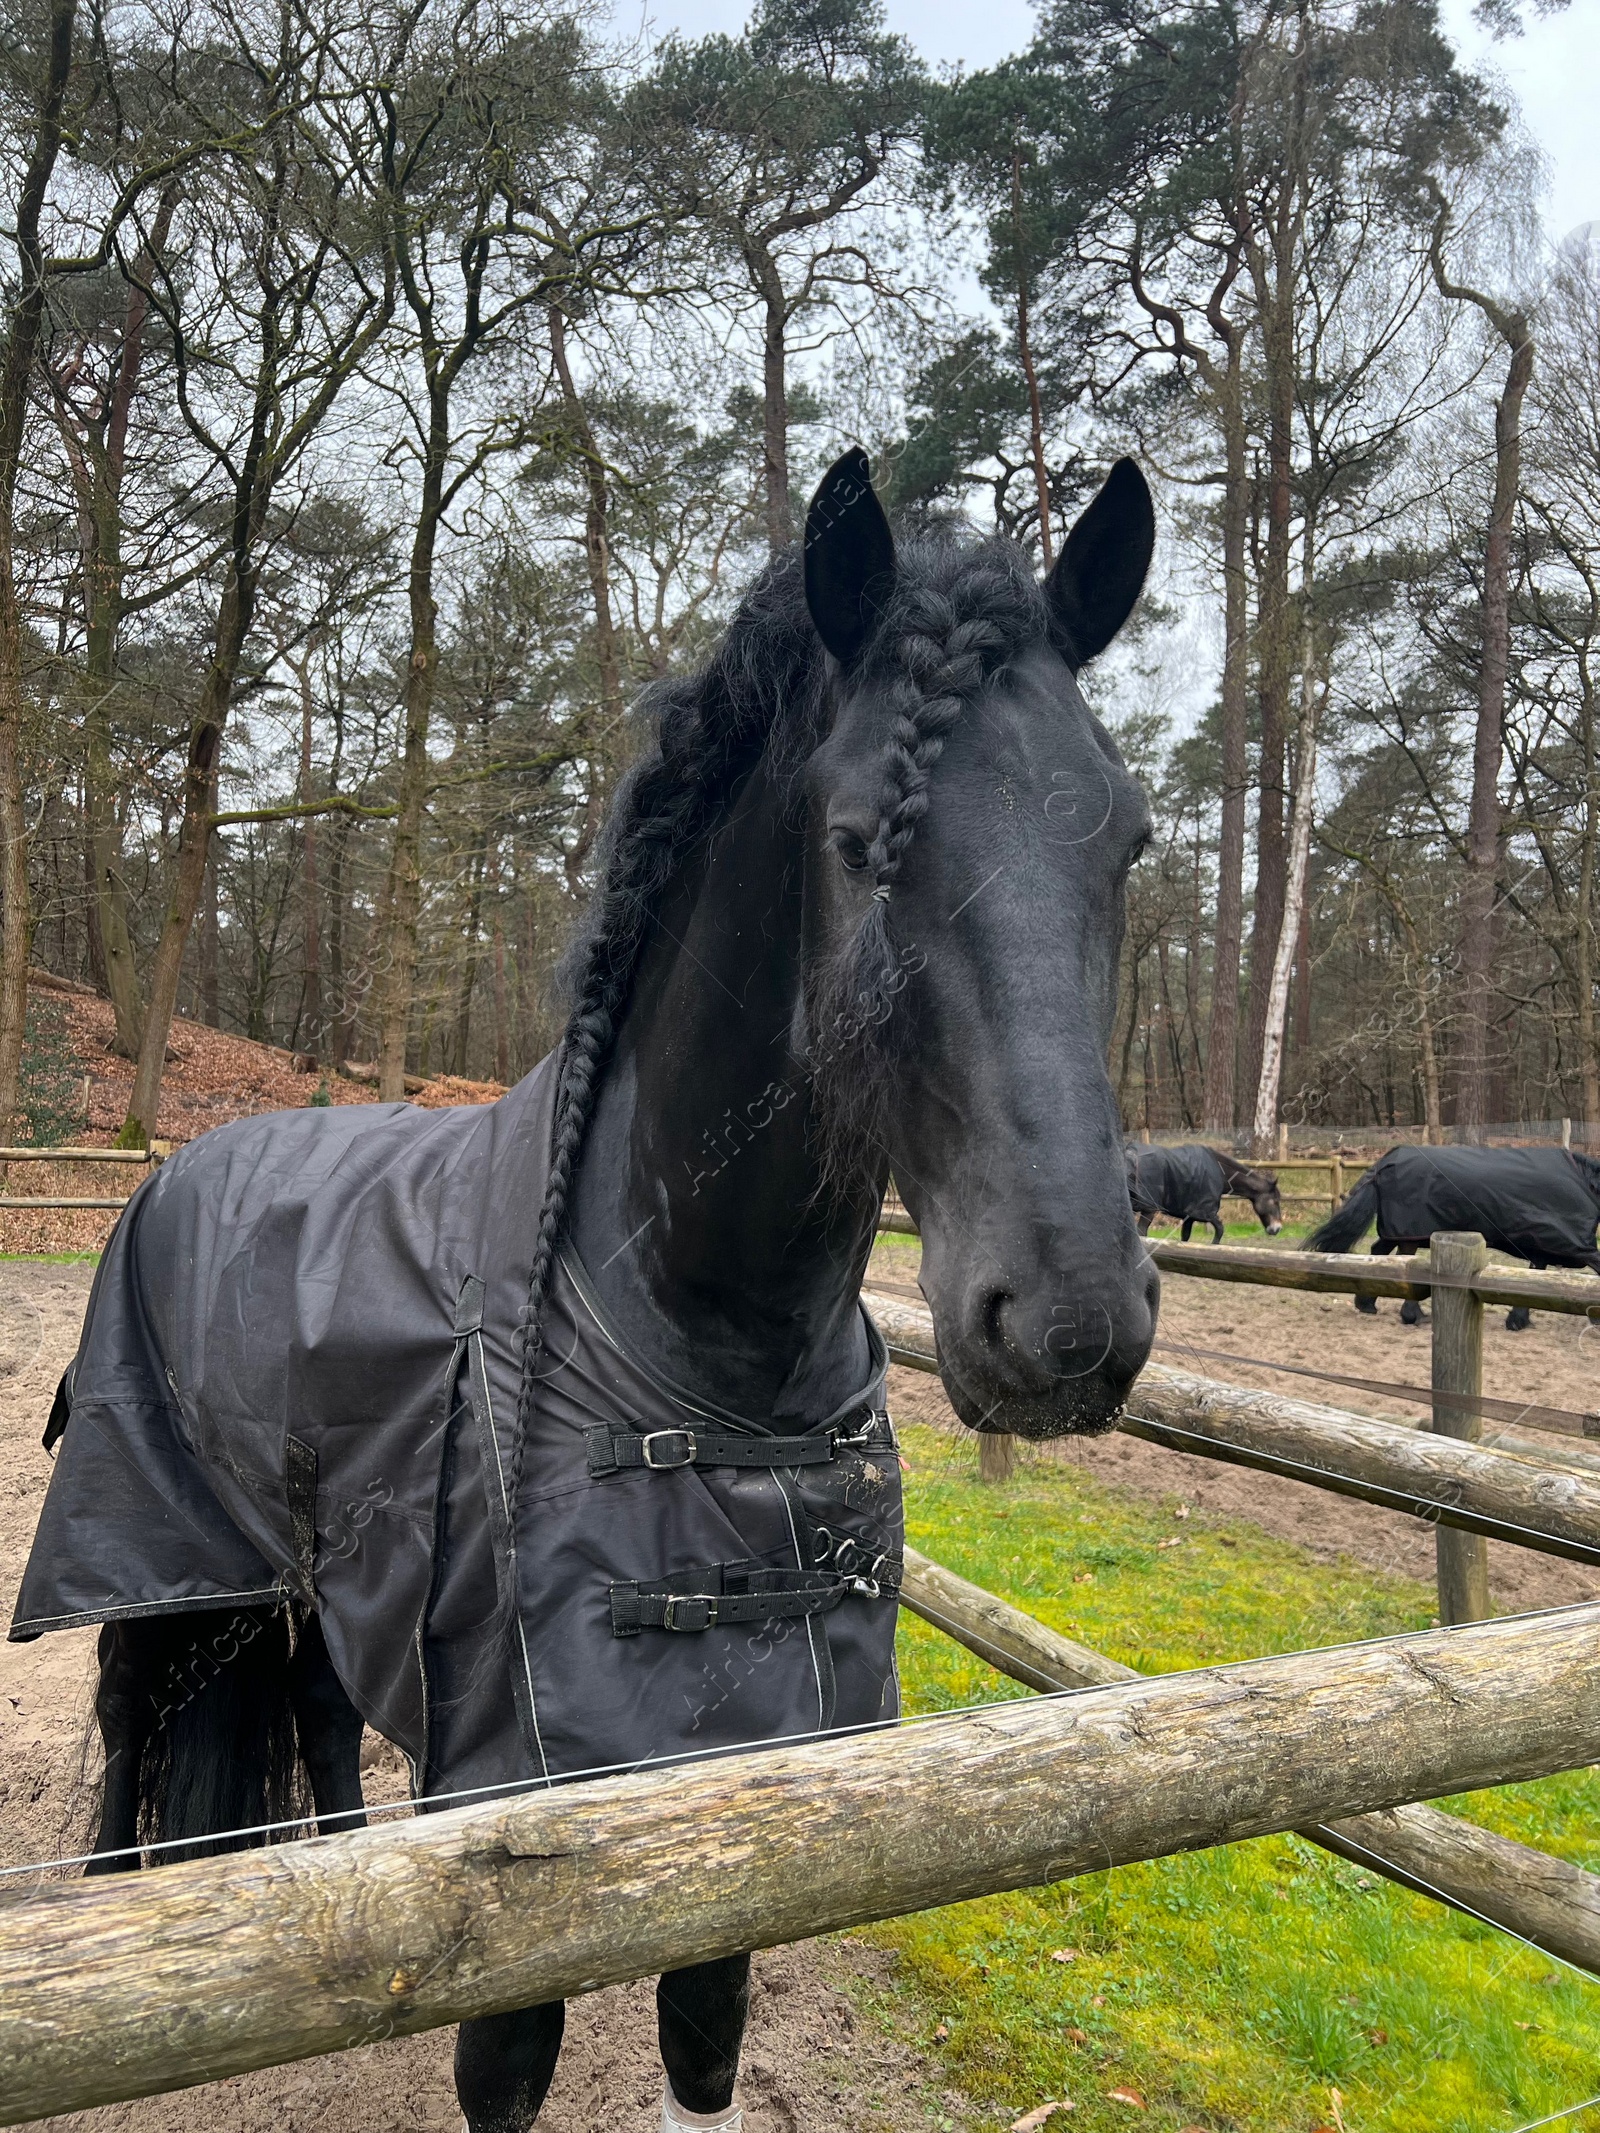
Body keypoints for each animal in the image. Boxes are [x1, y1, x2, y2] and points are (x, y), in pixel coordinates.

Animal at [15, 441, 1169, 2124]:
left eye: (1123, 838)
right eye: (858, 838)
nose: (1072, 1321)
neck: (691, 1342)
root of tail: (182, 1158)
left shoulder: (749, 1818)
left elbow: (704, 2036)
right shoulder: (527, 1847)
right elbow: (504, 2053)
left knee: (315, 1723)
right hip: (158, 1556)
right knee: (124, 1739)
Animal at [1126, 1143, 1288, 1245]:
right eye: (1275, 1201)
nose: (1277, 1228)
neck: (1221, 1171)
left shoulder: (1189, 1216)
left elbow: (1185, 1238)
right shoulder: (1206, 1212)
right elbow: (1220, 1230)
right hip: (1148, 1209)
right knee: (1141, 1234)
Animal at [1314, 1151, 1600, 1330]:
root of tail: (1385, 1162)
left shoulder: (1540, 1246)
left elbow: (1534, 1278)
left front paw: (1518, 1320)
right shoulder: (1575, 1246)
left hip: (1397, 1229)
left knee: (1378, 1253)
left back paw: (1366, 1304)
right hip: (1409, 1231)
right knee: (1402, 1261)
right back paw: (1412, 1315)